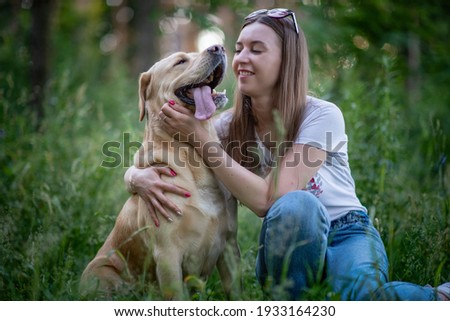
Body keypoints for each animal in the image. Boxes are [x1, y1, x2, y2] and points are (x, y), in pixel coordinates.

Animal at [82, 44, 241, 298]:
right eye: (180, 61)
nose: (217, 47)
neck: (193, 157)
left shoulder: (229, 246)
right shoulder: (168, 256)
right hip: (102, 273)